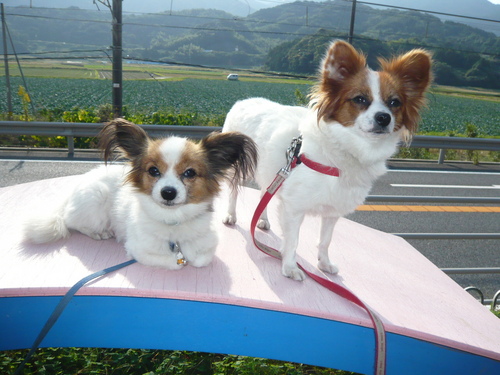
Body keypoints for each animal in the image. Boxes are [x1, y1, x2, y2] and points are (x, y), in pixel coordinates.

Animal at [221, 40, 432, 282]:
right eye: (360, 99)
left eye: (394, 103)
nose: (383, 118)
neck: (349, 151)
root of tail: (243, 101)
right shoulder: (294, 208)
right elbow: (292, 241)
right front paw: (290, 267)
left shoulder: (333, 210)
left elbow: (325, 240)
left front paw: (323, 263)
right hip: (241, 168)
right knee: (234, 191)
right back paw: (230, 215)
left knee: (265, 192)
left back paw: (262, 220)